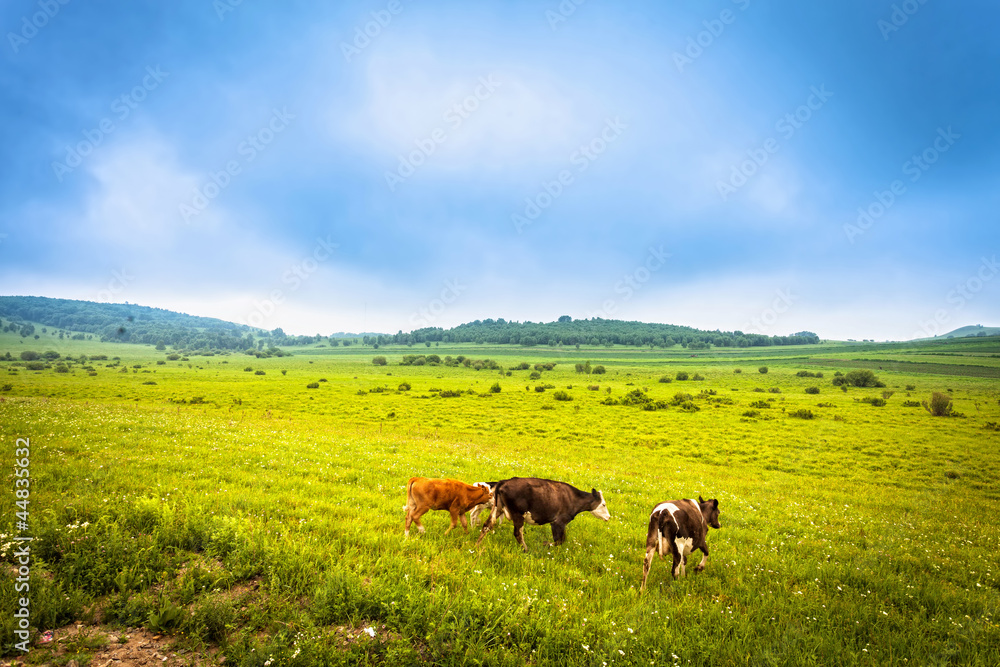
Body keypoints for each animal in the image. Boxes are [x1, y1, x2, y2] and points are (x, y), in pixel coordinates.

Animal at [476, 480, 608, 552]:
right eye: (603, 504)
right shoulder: (558, 522)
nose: (608, 517)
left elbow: (561, 540)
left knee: (487, 525)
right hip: (518, 514)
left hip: (497, 508)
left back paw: (477, 544)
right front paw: (545, 544)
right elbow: (560, 540)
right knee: (518, 533)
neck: (574, 499)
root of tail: (504, 482)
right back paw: (526, 549)